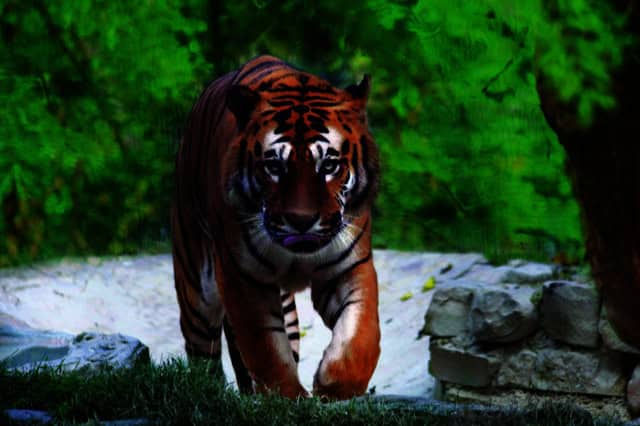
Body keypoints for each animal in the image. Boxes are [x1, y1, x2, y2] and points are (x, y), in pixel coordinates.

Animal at [171, 55, 380, 400]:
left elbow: (361, 334)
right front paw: (286, 397)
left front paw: (333, 385)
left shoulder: (349, 266)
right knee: (203, 355)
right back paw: (209, 393)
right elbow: (265, 347)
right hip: (196, 288)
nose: (301, 220)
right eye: (274, 166)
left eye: (329, 165)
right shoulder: (242, 277)